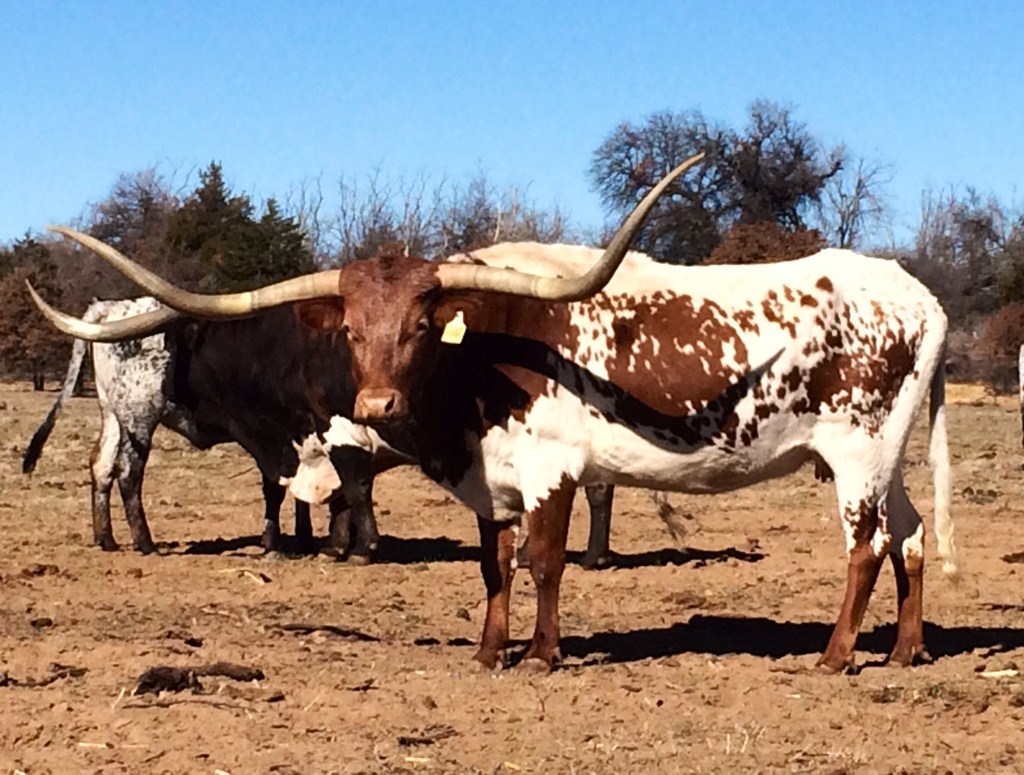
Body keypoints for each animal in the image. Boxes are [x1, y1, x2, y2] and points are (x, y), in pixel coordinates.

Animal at [30, 154, 958, 674]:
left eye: (418, 326)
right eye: (352, 331)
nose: (376, 402)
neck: (477, 359)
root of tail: (918, 295)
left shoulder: (553, 468)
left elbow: (543, 562)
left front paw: (541, 654)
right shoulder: (492, 479)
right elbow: (493, 566)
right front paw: (488, 649)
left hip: (856, 454)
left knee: (867, 547)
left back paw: (834, 656)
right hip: (885, 454)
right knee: (910, 536)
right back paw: (904, 650)